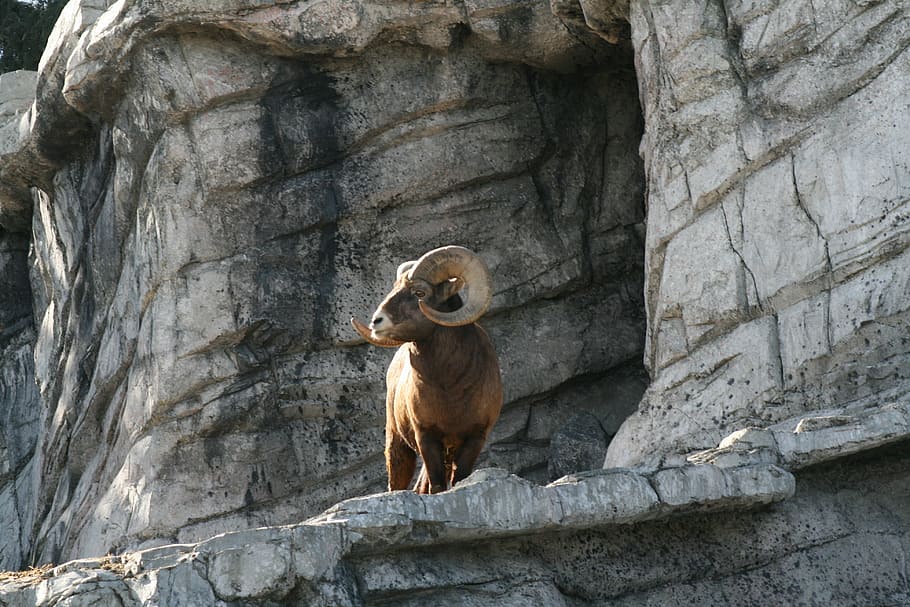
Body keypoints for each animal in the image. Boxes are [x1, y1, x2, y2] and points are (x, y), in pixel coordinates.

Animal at [351, 245, 503, 494]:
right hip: (398, 445)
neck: (451, 389)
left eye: (419, 293)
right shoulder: (426, 438)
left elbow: (458, 479)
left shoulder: (475, 438)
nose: (376, 321)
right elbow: (438, 485)